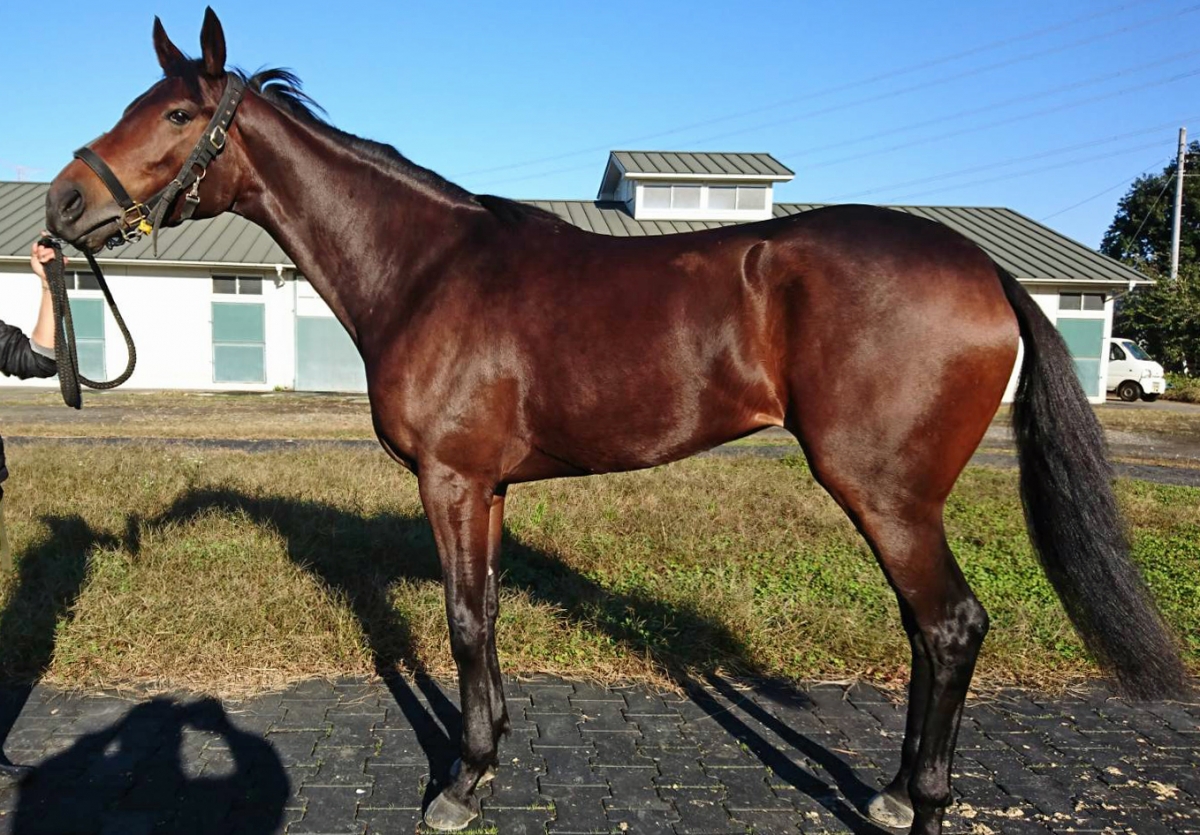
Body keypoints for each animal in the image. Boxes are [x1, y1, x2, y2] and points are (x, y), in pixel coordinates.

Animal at [45, 10, 1186, 834]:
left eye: (177, 117)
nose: (61, 208)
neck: (426, 268)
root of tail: (982, 266)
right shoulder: (490, 487)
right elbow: (484, 614)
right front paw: (488, 755)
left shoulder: (450, 479)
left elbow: (461, 622)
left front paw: (457, 785)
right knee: (927, 630)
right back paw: (900, 786)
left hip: (884, 490)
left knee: (950, 625)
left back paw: (920, 800)